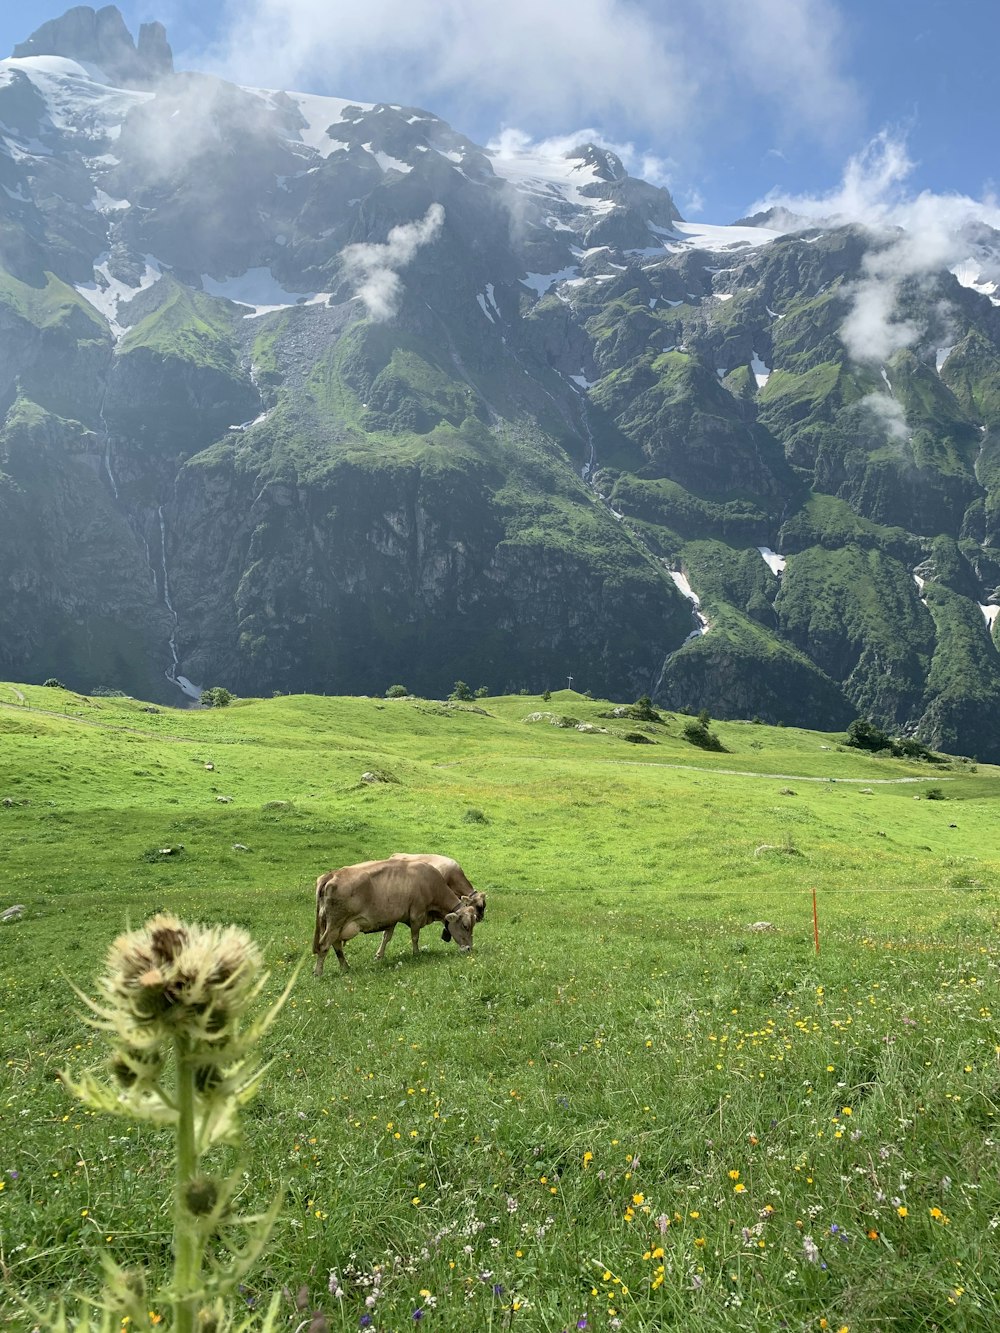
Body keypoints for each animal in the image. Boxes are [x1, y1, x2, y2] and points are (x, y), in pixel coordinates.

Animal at [314, 858, 482, 975]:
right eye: (465, 926)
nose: (469, 949)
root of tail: (331, 874)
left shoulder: (391, 919)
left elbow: (386, 937)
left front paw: (379, 956)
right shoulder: (416, 915)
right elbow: (415, 937)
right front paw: (416, 953)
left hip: (336, 925)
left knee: (336, 945)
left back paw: (345, 967)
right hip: (335, 923)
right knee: (324, 945)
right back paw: (318, 972)